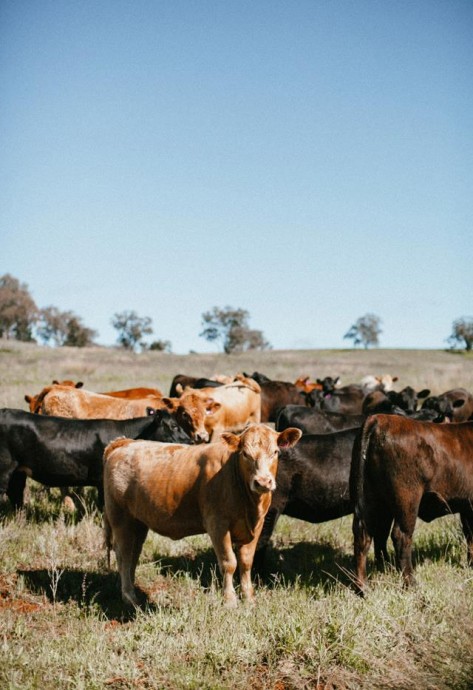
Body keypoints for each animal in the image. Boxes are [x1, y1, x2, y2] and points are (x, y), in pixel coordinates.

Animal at [103, 422, 302, 604]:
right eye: (245, 454)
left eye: (275, 452)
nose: (262, 482)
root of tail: (125, 443)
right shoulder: (217, 524)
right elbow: (229, 563)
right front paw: (230, 600)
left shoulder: (257, 525)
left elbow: (246, 562)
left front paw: (249, 598)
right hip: (120, 517)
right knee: (123, 553)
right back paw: (129, 597)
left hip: (138, 522)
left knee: (134, 552)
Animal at [348, 414, 472, 592]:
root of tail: (378, 419)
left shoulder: (466, 506)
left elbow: (469, 535)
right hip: (407, 499)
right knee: (400, 536)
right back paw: (410, 583)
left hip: (374, 500)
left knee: (366, 535)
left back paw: (365, 585)